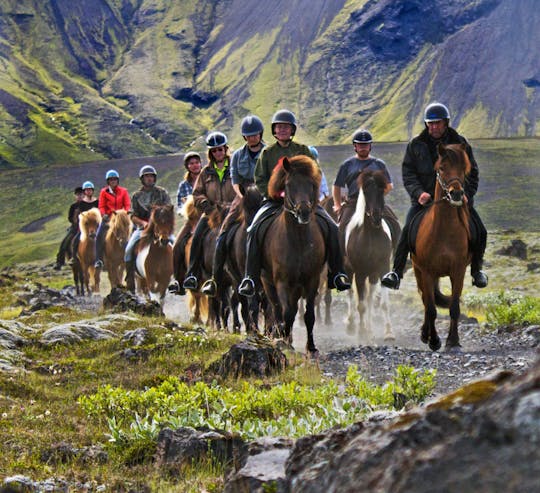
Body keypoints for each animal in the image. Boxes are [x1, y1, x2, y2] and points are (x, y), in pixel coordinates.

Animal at [260, 154, 324, 354]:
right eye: (288, 184)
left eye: (311, 183)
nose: (303, 212)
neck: (299, 242)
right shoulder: (282, 281)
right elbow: (285, 313)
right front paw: (285, 341)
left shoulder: (312, 280)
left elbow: (309, 315)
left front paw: (311, 347)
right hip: (268, 283)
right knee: (276, 309)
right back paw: (280, 335)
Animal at [344, 169, 398, 342]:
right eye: (366, 192)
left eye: (381, 190)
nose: (375, 217)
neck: (371, 235)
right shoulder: (360, 273)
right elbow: (360, 305)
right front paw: (361, 333)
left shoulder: (383, 268)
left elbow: (382, 304)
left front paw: (388, 332)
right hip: (350, 270)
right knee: (351, 293)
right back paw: (352, 325)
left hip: (373, 273)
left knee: (369, 297)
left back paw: (369, 328)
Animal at [414, 141, 472, 350]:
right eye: (441, 168)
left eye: (464, 168)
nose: (456, 193)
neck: (444, 230)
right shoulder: (427, 272)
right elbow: (431, 308)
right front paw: (434, 340)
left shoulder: (458, 271)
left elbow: (454, 307)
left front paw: (453, 340)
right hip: (418, 271)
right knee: (425, 300)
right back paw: (425, 334)